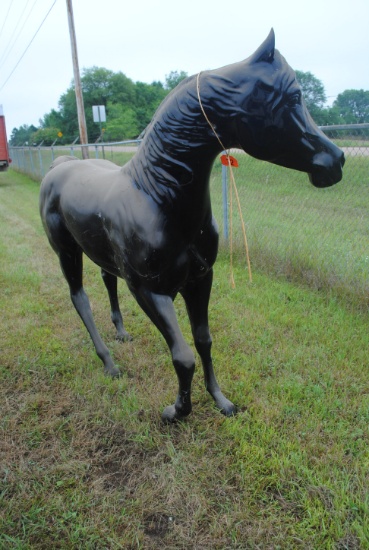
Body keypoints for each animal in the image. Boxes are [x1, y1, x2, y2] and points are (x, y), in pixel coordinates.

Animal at [39, 30, 342, 422]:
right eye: (293, 97)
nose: (336, 160)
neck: (156, 197)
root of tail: (58, 166)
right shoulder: (150, 291)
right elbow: (183, 356)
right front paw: (176, 411)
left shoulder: (200, 280)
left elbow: (204, 341)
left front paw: (221, 401)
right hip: (67, 253)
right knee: (80, 299)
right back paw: (109, 363)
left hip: (100, 255)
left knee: (107, 281)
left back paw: (121, 333)